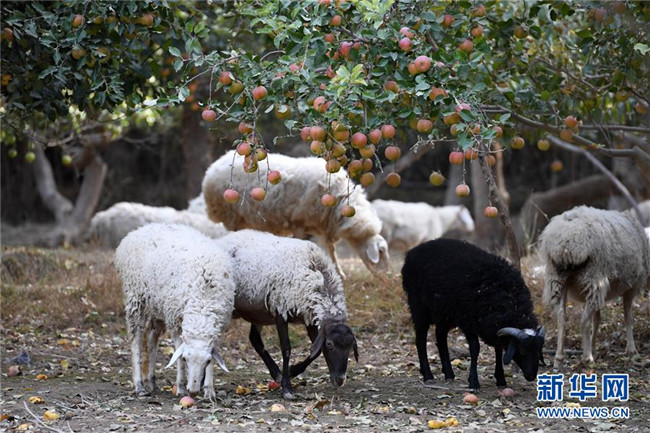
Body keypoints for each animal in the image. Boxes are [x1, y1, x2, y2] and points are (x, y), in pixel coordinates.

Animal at [114, 223, 235, 399]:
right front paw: (181, 386)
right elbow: (177, 350)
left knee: (151, 336)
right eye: (185, 359)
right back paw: (139, 385)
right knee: (136, 337)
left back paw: (152, 381)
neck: (202, 301)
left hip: (157, 303)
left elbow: (213, 355)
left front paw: (209, 389)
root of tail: (141, 228)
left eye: (206, 361)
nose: (193, 391)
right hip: (135, 296)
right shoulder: (175, 321)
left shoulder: (217, 326)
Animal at [202, 150, 389, 277]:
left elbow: (331, 250)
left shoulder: (322, 225)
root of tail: (213, 167)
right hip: (231, 214)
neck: (341, 201)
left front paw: (339, 273)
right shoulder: (300, 222)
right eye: (380, 252)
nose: (387, 276)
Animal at [214, 229, 358, 399]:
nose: (340, 380)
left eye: (350, 346)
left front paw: (291, 371)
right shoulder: (280, 312)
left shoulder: (310, 317)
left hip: (258, 314)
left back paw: (276, 372)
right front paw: (287, 387)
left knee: (254, 339)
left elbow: (315, 351)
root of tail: (223, 239)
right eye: (330, 344)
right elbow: (286, 349)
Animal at [401, 238, 545, 390]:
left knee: (440, 336)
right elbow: (475, 348)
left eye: (538, 351)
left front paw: (501, 379)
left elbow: (498, 349)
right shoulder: (467, 321)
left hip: (445, 312)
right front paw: (473, 382)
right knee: (420, 339)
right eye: (522, 351)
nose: (531, 376)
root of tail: (413, 252)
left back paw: (449, 374)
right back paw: (428, 375)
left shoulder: (493, 327)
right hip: (419, 306)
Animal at [539, 206, 650, 368]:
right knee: (584, 320)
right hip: (594, 278)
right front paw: (631, 349)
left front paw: (594, 348)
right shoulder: (631, 286)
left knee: (561, 317)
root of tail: (566, 242)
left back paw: (559, 357)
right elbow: (628, 317)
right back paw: (587, 357)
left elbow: (597, 319)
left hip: (558, 279)